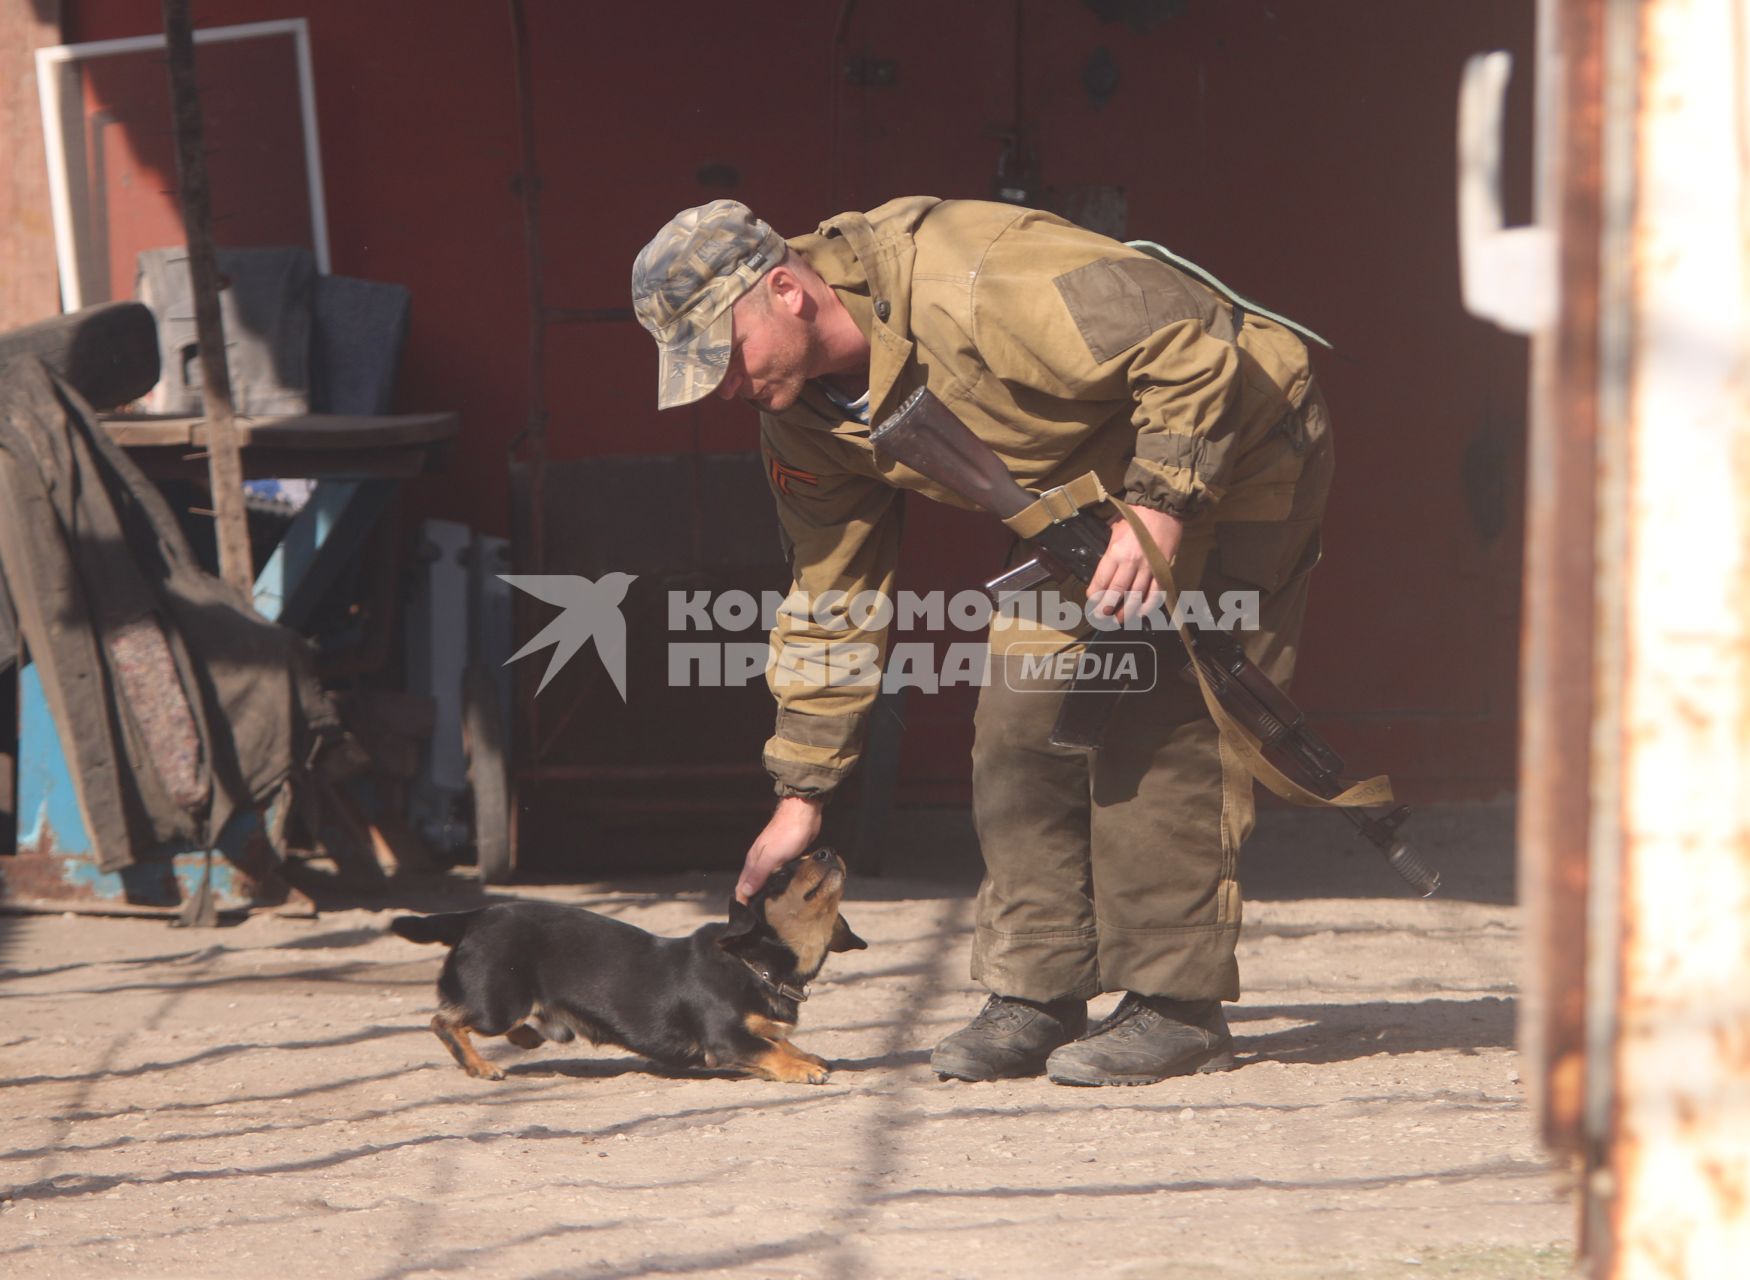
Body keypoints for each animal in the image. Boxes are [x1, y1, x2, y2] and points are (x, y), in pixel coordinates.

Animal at [393, 850, 864, 1078]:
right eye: (781, 875)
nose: (826, 850)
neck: (754, 963)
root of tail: (474, 915)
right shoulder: (726, 1040)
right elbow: (771, 1050)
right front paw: (802, 1069)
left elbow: (781, 1041)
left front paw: (806, 1056)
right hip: (499, 1002)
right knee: (444, 1021)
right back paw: (480, 1065)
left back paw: (524, 1037)